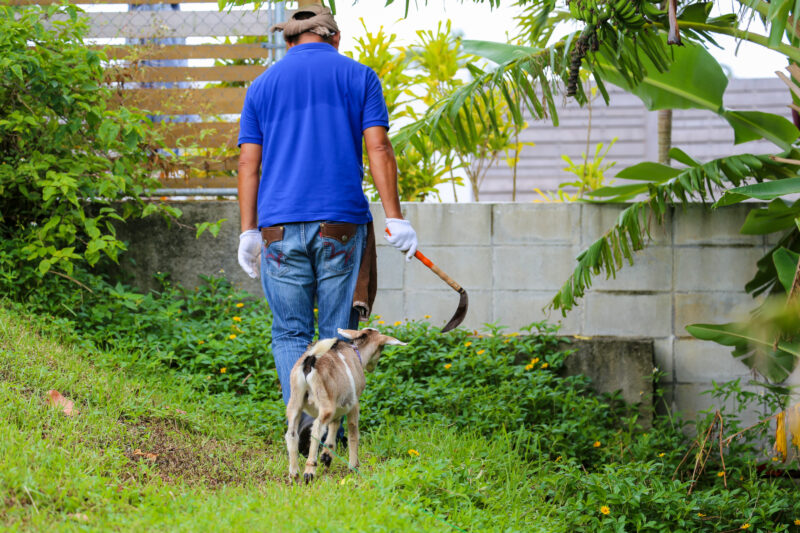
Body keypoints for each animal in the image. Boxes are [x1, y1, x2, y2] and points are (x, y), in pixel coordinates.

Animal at [286, 324, 406, 482]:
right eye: (382, 348)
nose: (372, 368)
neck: (356, 353)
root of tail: (310, 361)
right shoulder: (354, 404)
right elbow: (353, 433)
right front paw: (354, 466)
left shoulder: (339, 407)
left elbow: (334, 427)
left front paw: (327, 456)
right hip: (325, 405)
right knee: (316, 429)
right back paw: (309, 470)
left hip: (295, 402)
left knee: (291, 433)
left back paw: (294, 473)